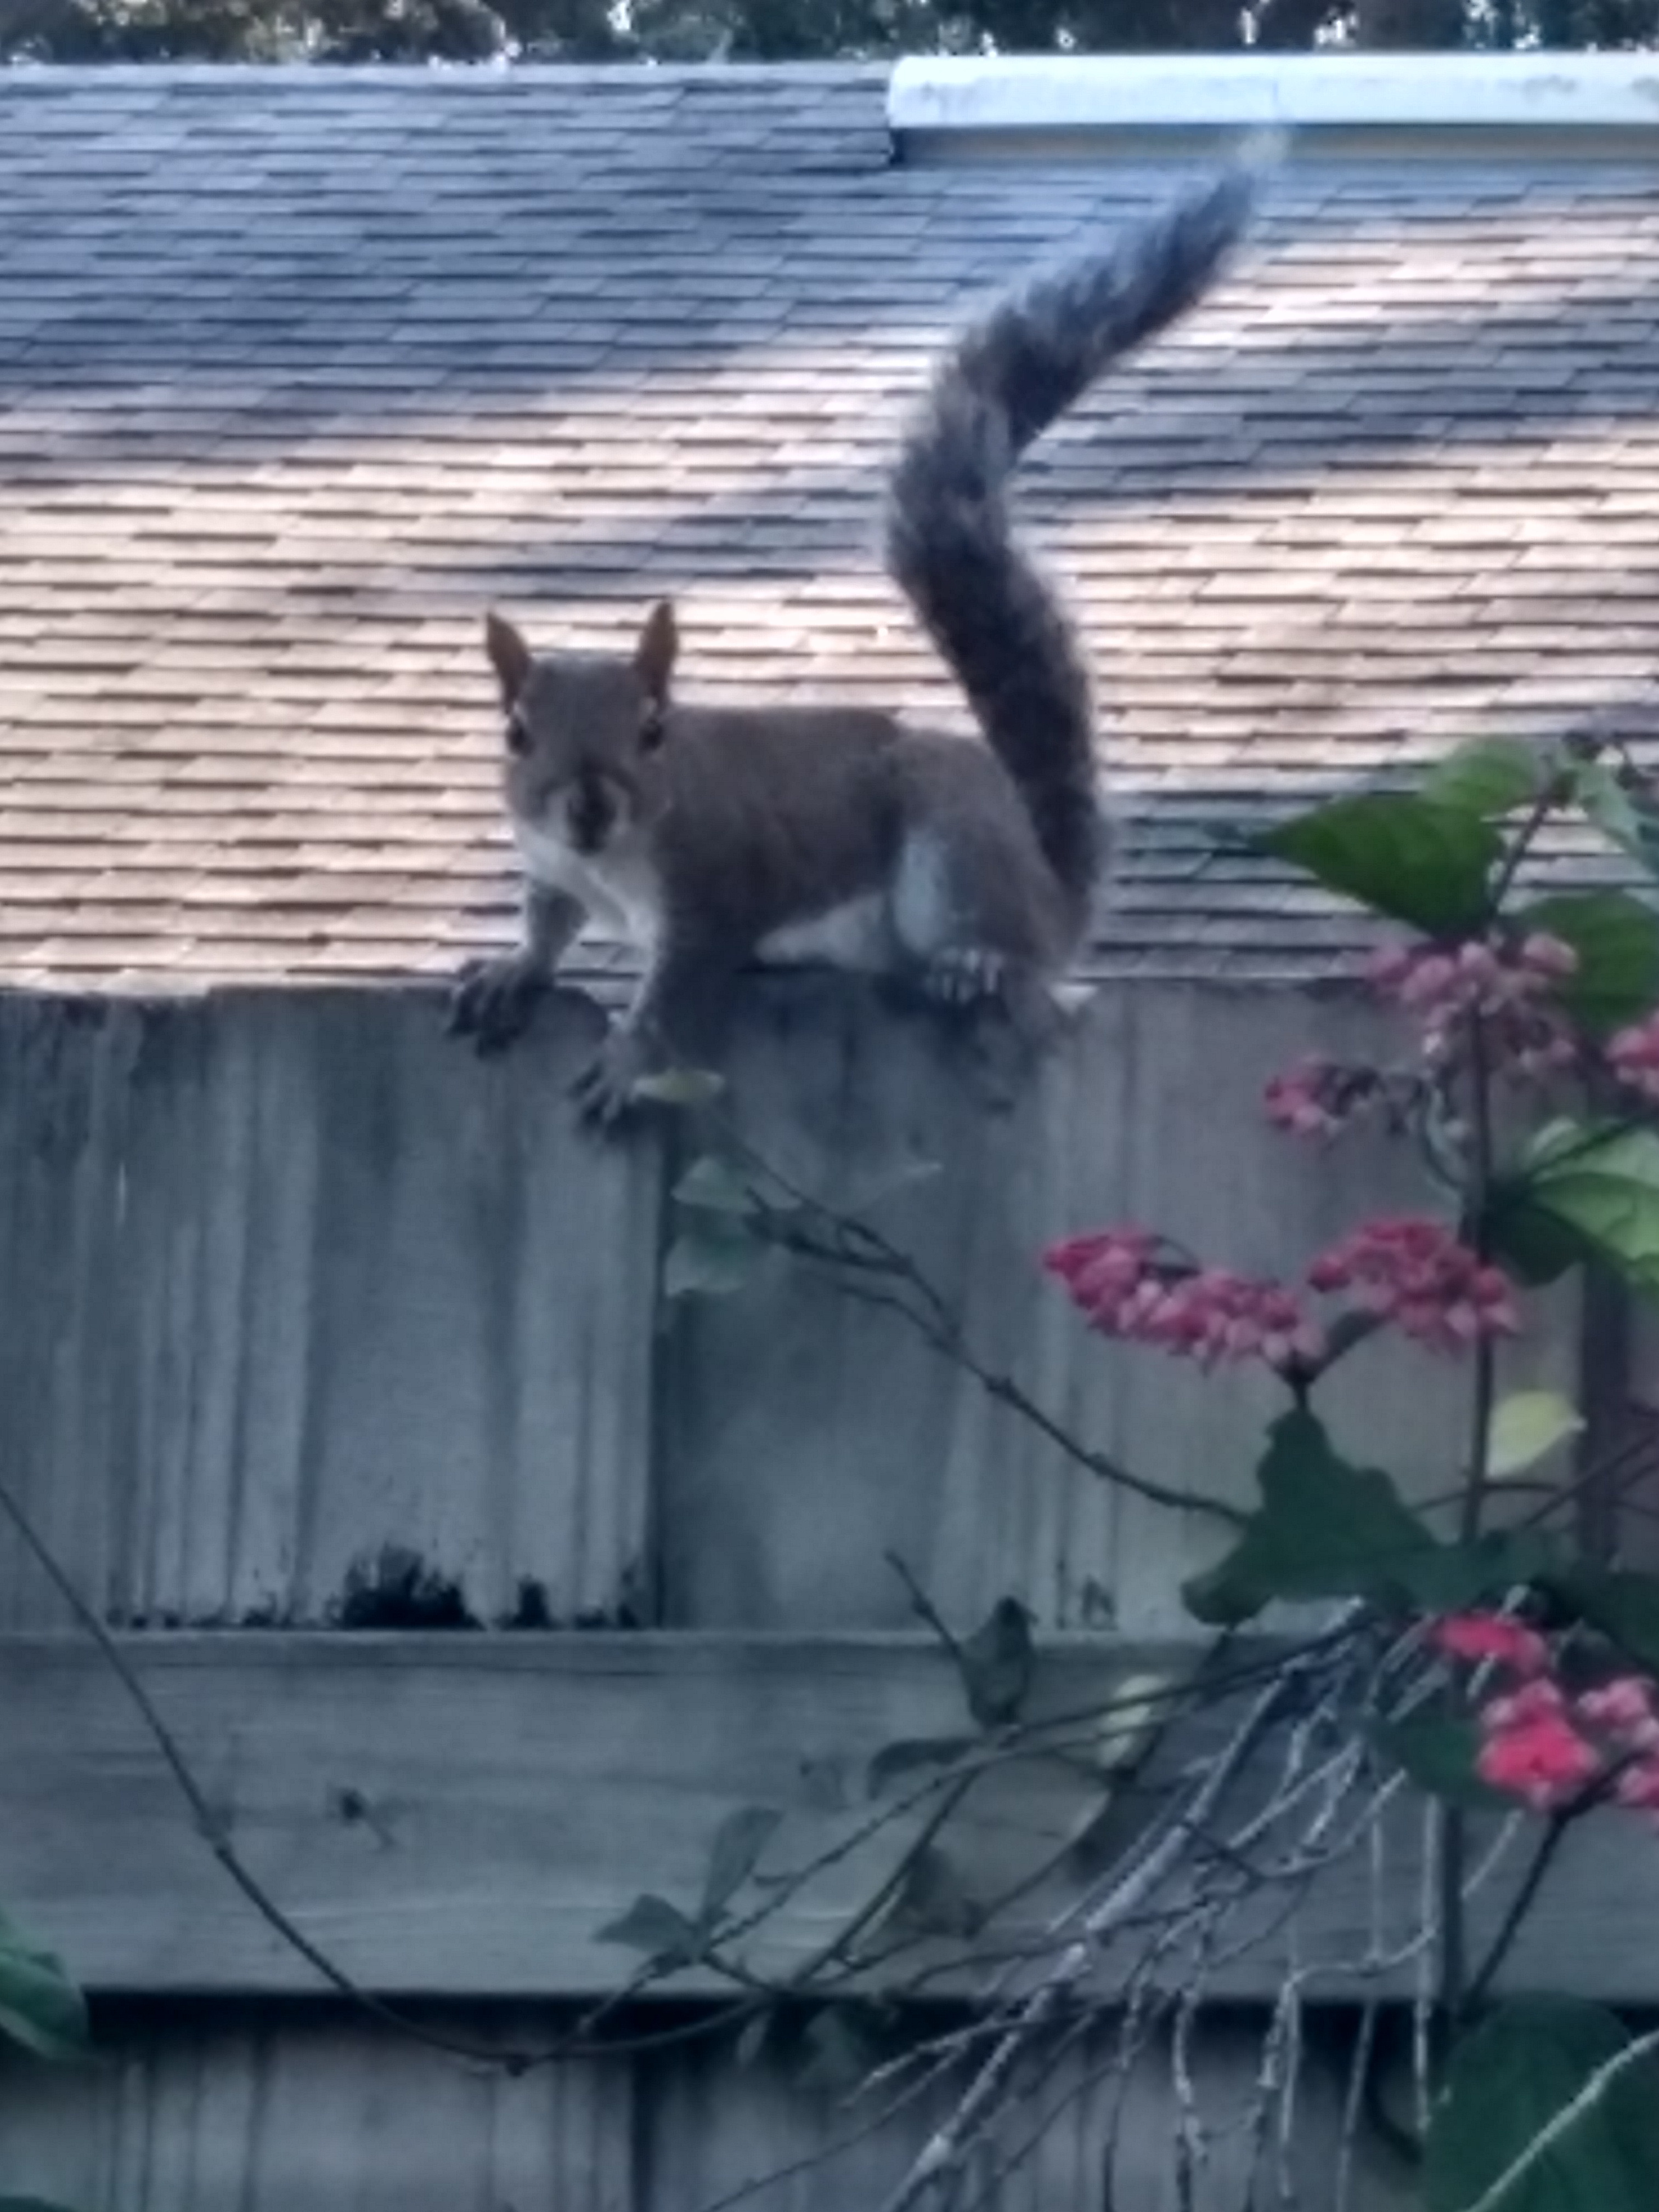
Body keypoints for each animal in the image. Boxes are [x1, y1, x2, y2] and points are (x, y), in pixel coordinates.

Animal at [450, 161, 1262, 1125]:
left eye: (652, 729)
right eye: (514, 733)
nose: (587, 805)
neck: (612, 860)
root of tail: (1055, 894)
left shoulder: (717, 894)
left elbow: (676, 992)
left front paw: (626, 1059)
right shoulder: (552, 866)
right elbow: (547, 923)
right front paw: (513, 970)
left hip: (956, 849)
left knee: (1008, 952)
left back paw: (976, 961)